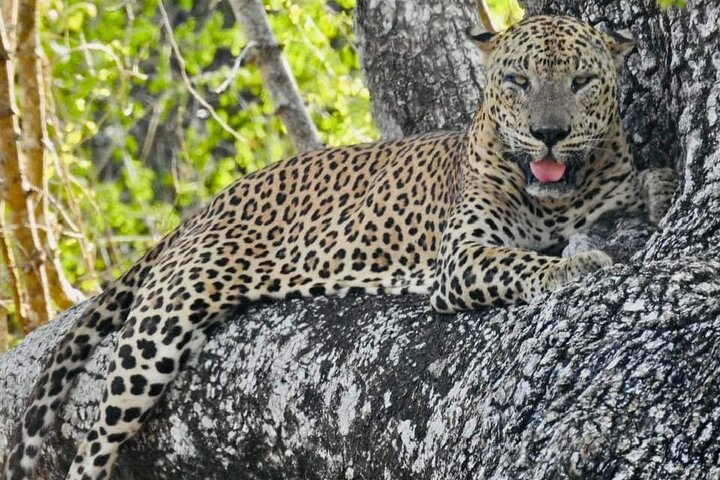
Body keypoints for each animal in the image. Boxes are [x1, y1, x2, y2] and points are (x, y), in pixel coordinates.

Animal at [4, 15, 676, 480]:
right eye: (519, 80)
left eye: (581, 81)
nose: (549, 133)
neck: (556, 199)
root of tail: (204, 208)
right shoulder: (463, 259)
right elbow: (524, 263)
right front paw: (577, 265)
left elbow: (632, 191)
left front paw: (660, 186)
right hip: (163, 323)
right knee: (93, 444)